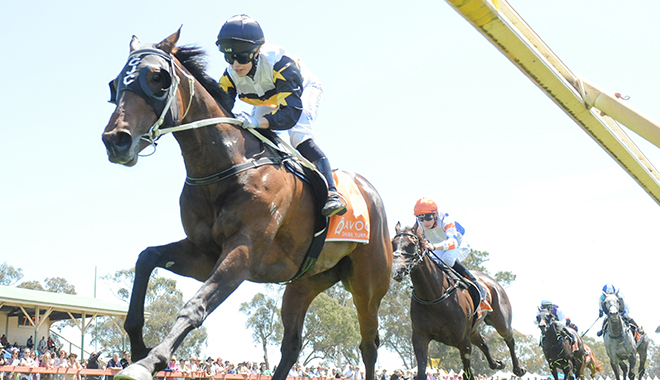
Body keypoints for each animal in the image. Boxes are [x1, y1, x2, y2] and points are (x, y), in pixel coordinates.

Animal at [101, 29, 394, 380]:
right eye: (116, 83)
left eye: (156, 78)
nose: (115, 140)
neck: (227, 164)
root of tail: (370, 192)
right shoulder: (204, 252)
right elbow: (147, 258)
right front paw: (137, 347)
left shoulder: (243, 251)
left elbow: (195, 306)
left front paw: (148, 361)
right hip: (304, 282)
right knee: (292, 345)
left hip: (368, 284)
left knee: (368, 344)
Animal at [390, 223, 524, 380]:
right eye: (393, 244)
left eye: (412, 244)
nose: (396, 270)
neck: (433, 297)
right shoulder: (419, 337)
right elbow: (422, 372)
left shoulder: (463, 341)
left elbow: (468, 374)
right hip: (472, 329)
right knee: (483, 342)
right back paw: (497, 364)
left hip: (500, 320)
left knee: (509, 339)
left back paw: (518, 369)